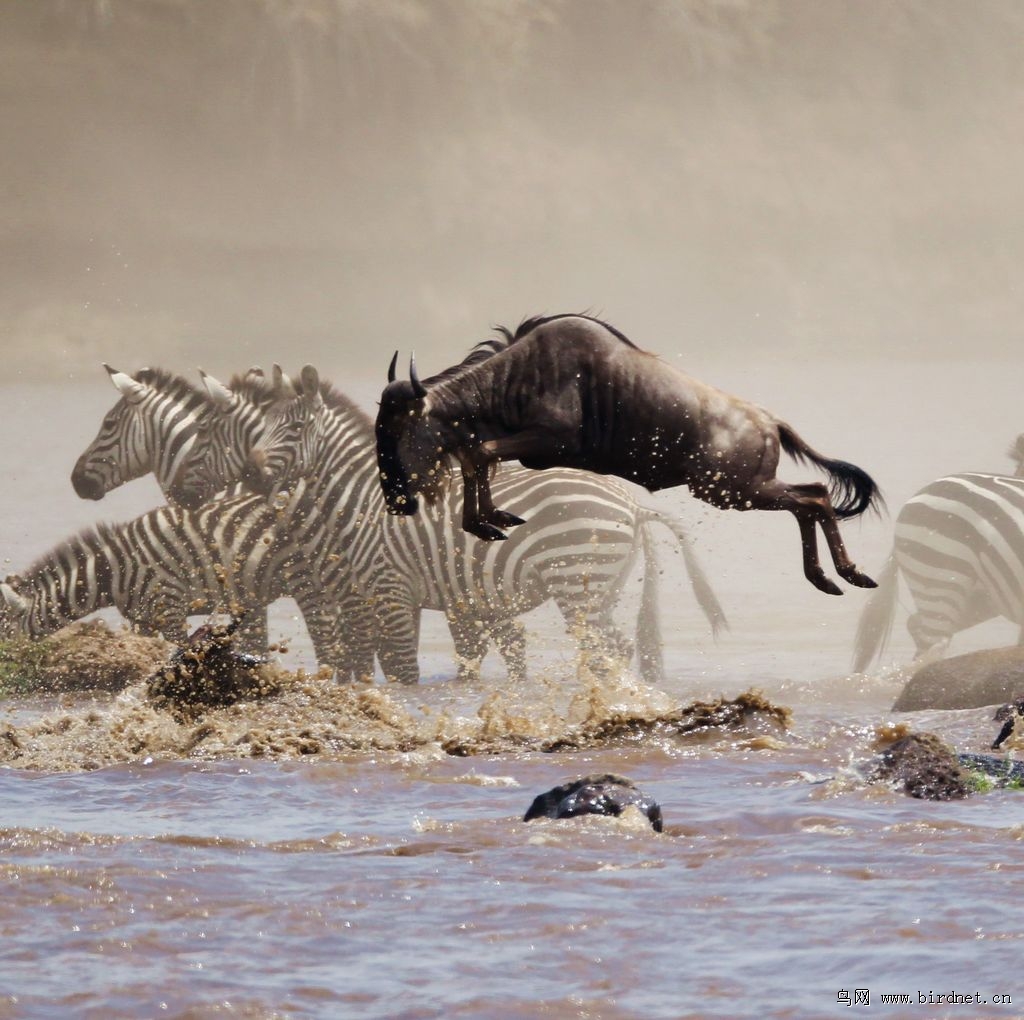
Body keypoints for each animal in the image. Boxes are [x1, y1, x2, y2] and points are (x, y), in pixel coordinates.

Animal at [0, 493, 376, 675]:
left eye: (3, 634)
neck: (114, 571)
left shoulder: (169, 606)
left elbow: (180, 650)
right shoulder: (144, 619)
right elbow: (146, 656)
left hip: (310, 578)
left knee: (328, 638)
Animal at [236, 364, 729, 684]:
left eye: (295, 429)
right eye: (263, 427)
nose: (251, 472)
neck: (363, 501)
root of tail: (632, 503)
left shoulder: (391, 592)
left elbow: (402, 672)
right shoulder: (395, 598)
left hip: (576, 580)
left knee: (608, 648)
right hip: (602, 588)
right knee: (613, 649)